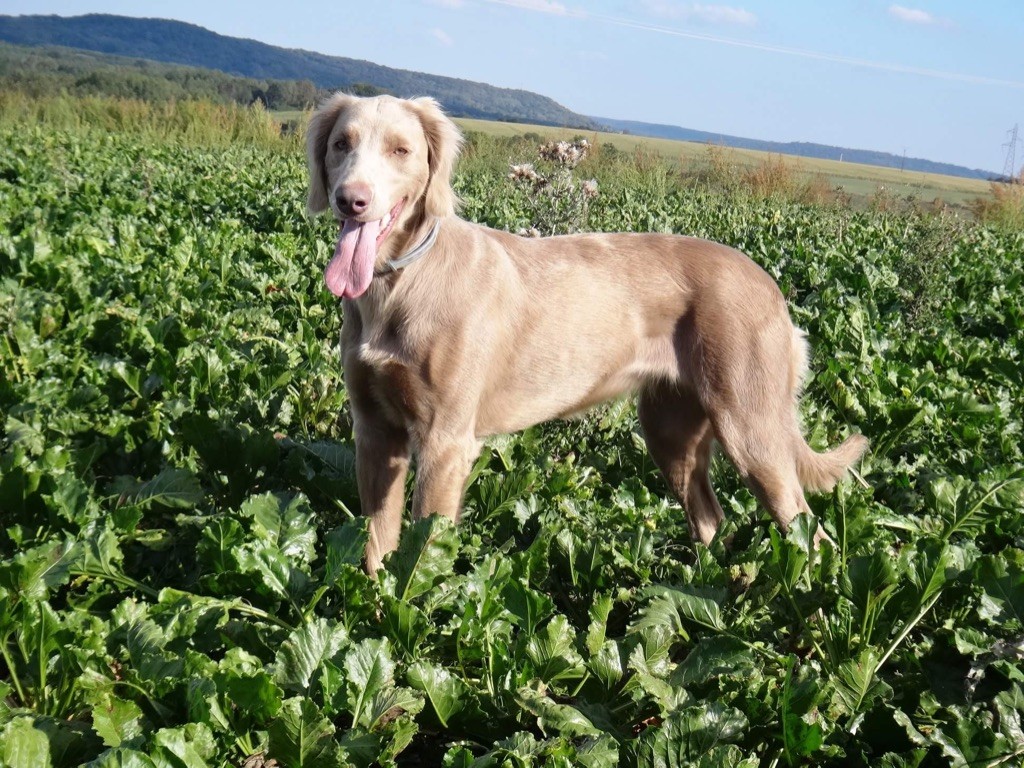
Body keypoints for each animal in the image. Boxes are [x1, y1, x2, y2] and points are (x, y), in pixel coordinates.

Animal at [301, 93, 864, 573]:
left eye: (401, 150)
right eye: (341, 143)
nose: (351, 200)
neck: (398, 284)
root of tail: (770, 286)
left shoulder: (445, 441)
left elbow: (424, 552)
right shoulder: (375, 432)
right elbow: (377, 544)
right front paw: (373, 606)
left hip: (752, 429)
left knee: (811, 535)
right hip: (670, 429)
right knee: (711, 517)